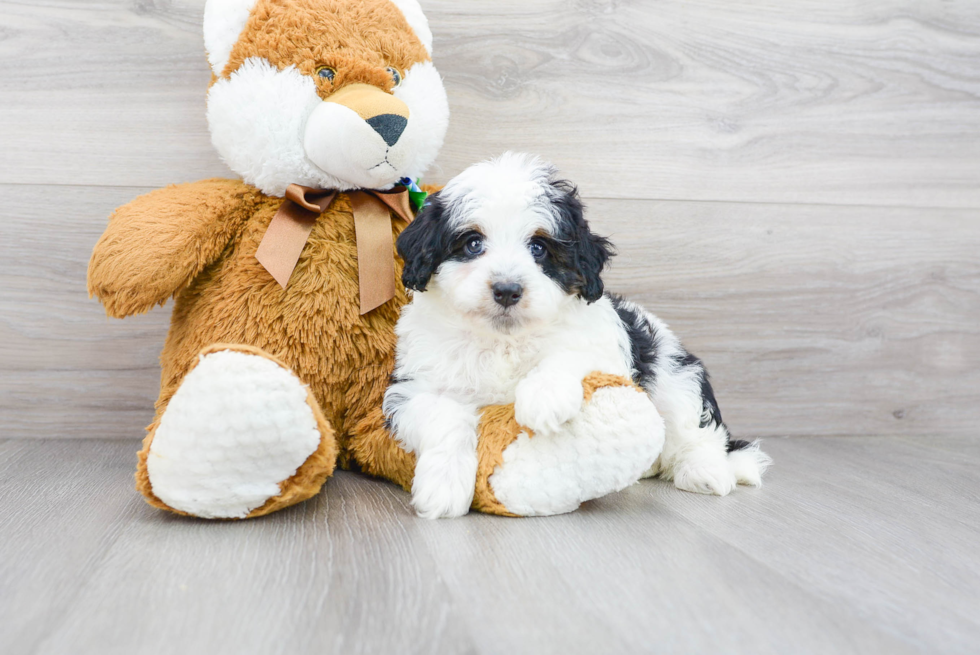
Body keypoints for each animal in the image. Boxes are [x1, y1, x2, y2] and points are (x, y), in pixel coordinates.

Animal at [384, 152, 772, 516]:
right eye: (473, 243)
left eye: (539, 248)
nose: (507, 290)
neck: (504, 339)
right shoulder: (414, 386)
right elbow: (443, 416)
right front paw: (443, 488)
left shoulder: (602, 346)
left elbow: (571, 352)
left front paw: (544, 397)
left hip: (673, 374)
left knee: (697, 429)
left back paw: (706, 471)